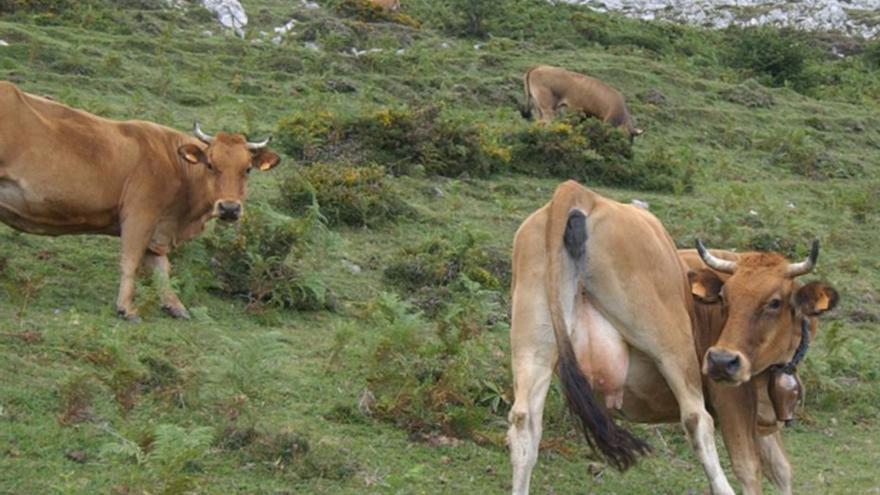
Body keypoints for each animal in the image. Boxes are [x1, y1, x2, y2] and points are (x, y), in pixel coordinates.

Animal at [0, 81, 282, 322]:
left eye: (247, 169)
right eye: (211, 165)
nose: (229, 208)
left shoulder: (158, 228)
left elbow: (161, 267)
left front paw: (175, 305)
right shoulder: (140, 216)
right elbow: (131, 260)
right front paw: (126, 308)